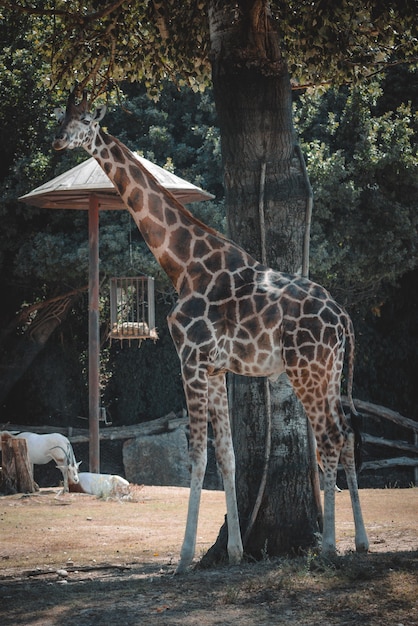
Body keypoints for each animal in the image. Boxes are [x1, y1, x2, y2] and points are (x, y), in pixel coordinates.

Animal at [53, 91, 370, 572]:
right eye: (63, 118)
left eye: (86, 121)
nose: (57, 140)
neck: (184, 266)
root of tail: (343, 318)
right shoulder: (217, 368)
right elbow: (227, 455)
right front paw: (236, 551)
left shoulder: (190, 359)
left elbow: (198, 457)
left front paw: (184, 557)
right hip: (331, 370)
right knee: (347, 434)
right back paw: (362, 542)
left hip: (306, 369)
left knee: (330, 437)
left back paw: (331, 545)